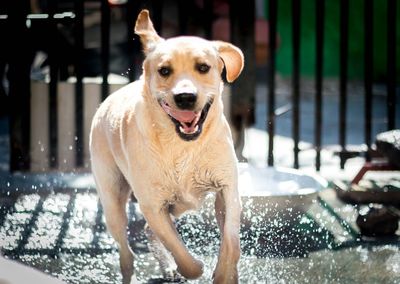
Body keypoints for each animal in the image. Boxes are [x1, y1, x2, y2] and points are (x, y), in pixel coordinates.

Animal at [90, 9, 244, 284]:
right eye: (164, 70)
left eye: (203, 67)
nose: (185, 97)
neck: (182, 146)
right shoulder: (152, 205)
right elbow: (179, 250)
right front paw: (195, 267)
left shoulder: (228, 190)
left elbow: (231, 242)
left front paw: (226, 273)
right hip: (113, 203)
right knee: (127, 254)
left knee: (149, 232)